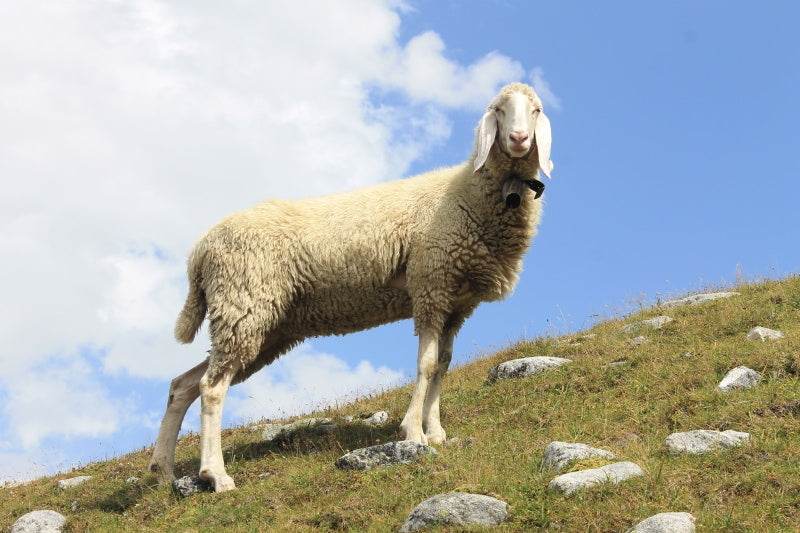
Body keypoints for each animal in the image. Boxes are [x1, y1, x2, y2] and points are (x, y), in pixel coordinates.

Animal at [148, 81, 552, 492]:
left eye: (535, 109)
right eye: (498, 110)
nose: (519, 139)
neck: (466, 193)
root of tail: (200, 250)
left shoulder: (456, 303)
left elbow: (442, 364)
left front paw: (436, 431)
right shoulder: (430, 285)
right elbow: (424, 365)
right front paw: (414, 433)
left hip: (260, 325)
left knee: (184, 384)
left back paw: (163, 470)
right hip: (244, 304)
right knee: (211, 387)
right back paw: (215, 474)